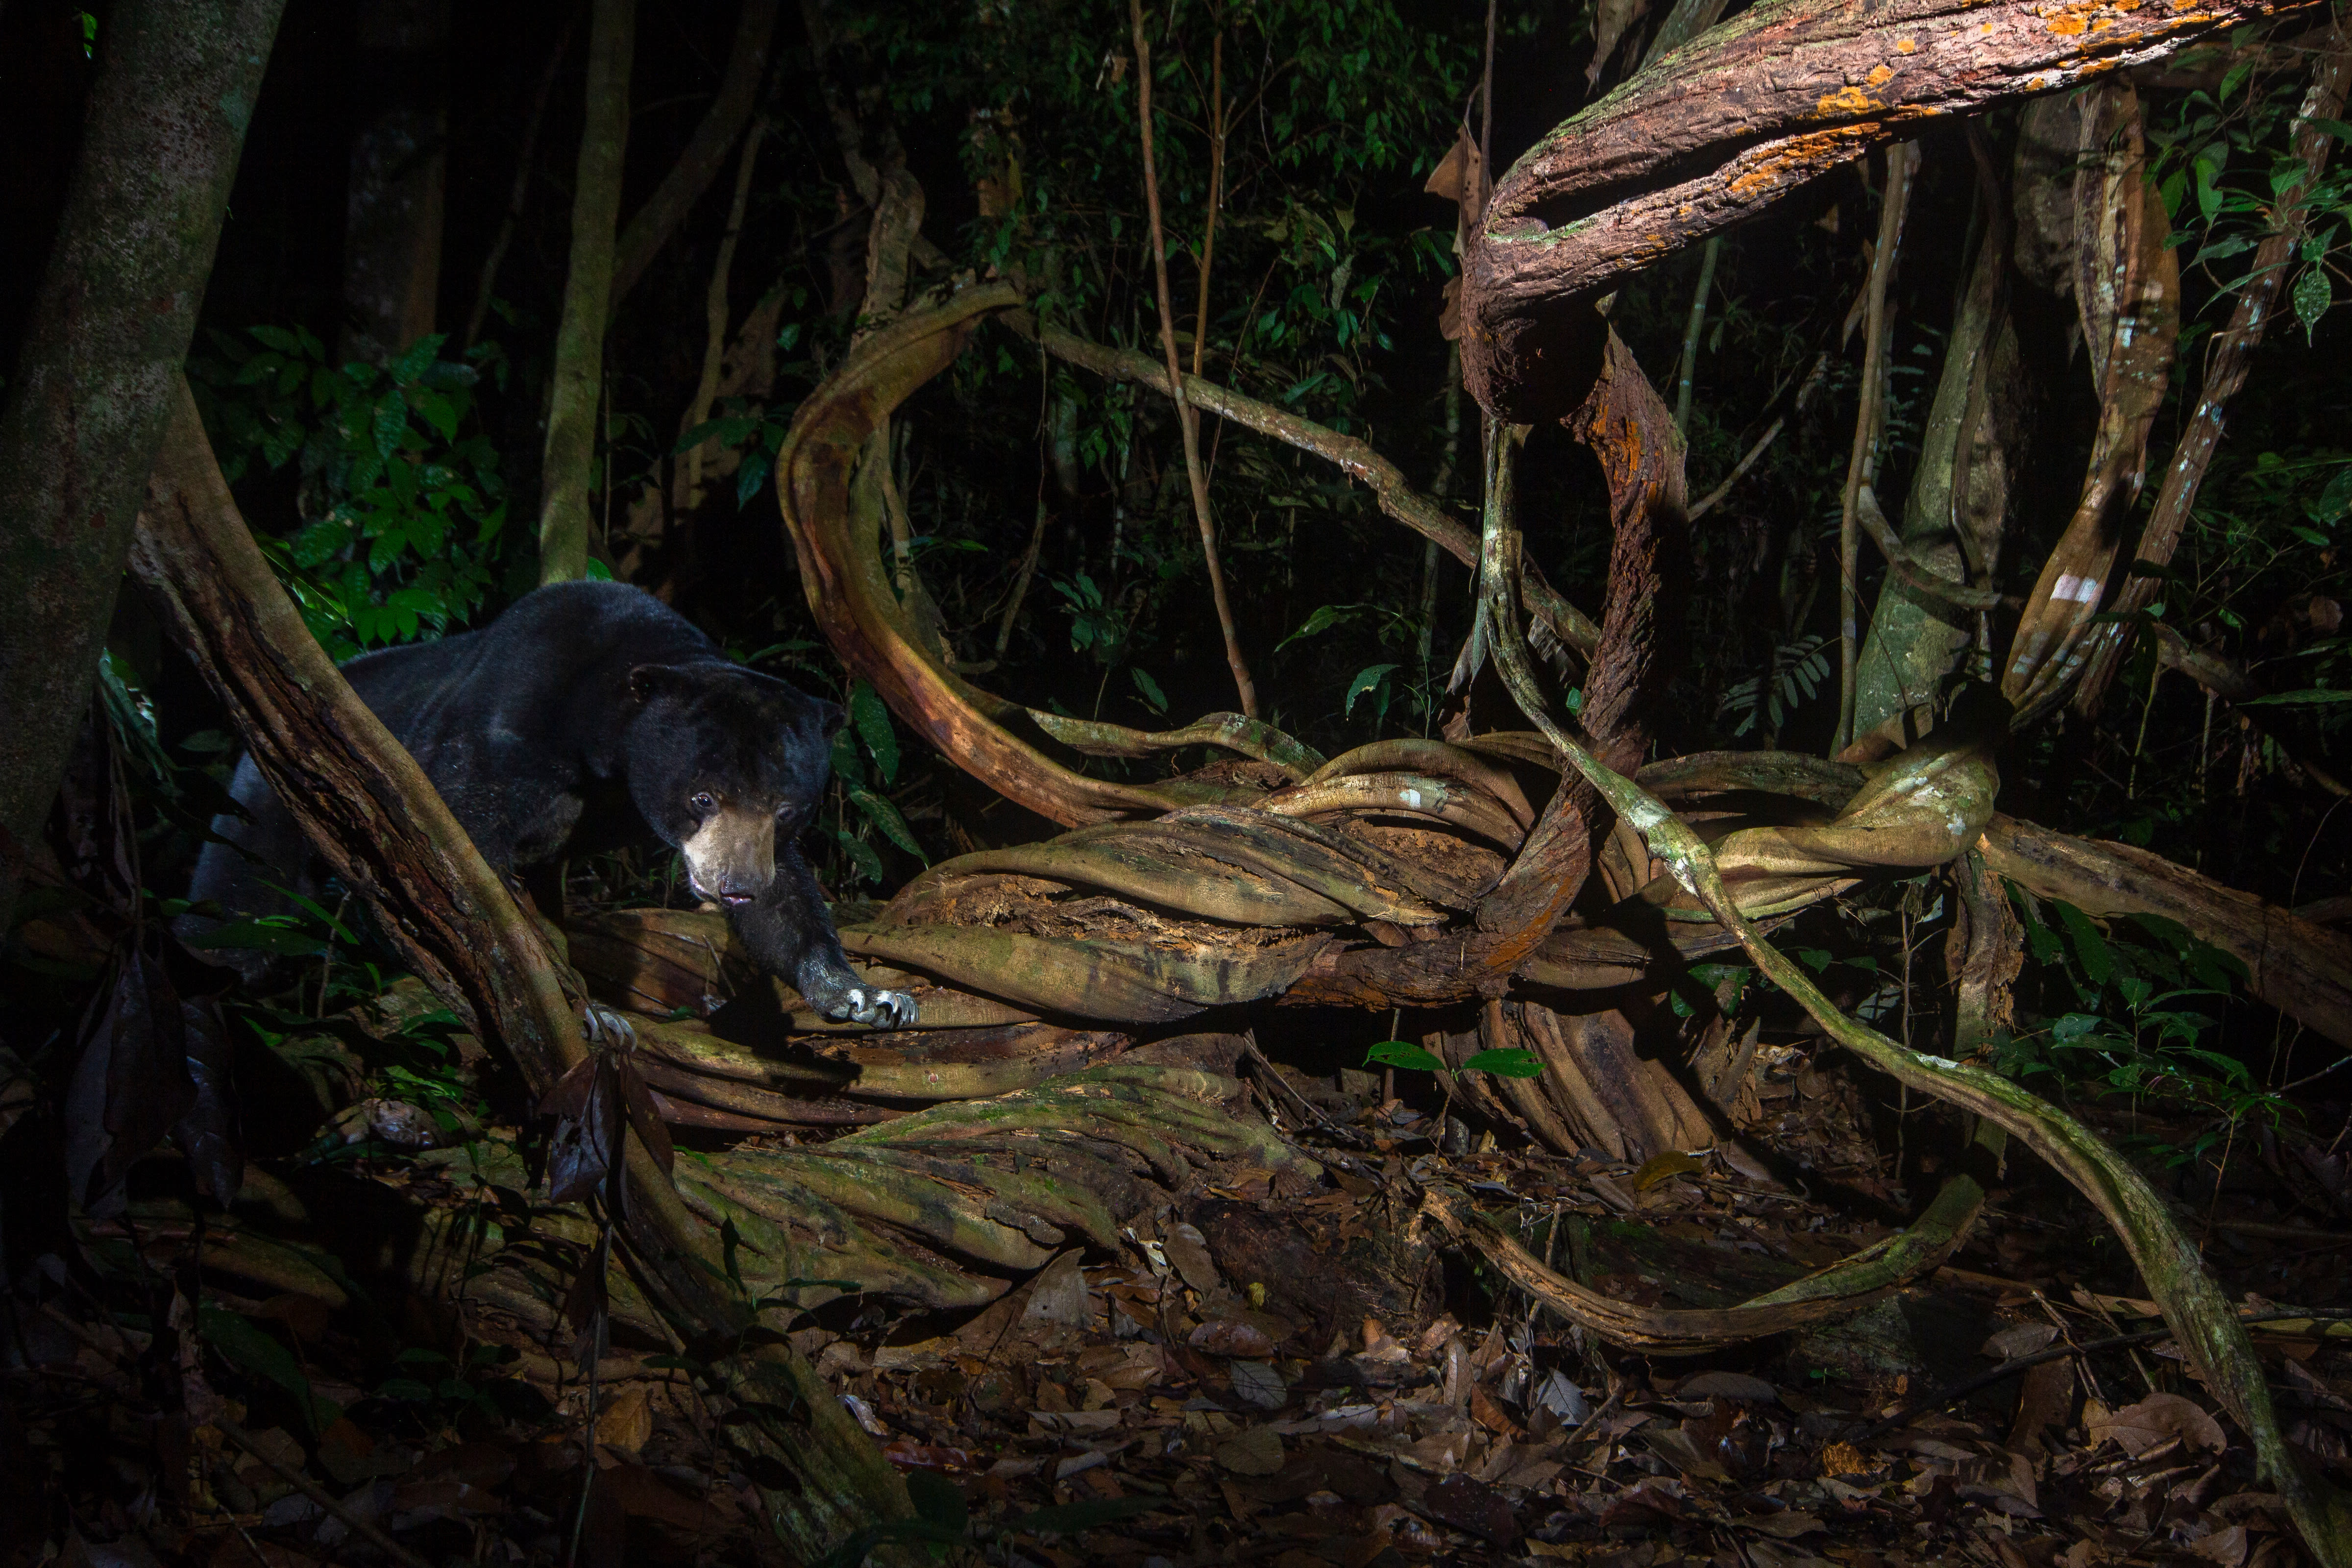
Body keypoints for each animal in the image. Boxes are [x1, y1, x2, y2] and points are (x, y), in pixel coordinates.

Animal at [182, 579, 916, 1031]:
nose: (735, 886)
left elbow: (788, 905)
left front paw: (866, 995)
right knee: (241, 881)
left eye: (787, 809)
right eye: (702, 796)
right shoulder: (501, 727)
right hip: (266, 781)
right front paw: (585, 1010)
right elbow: (457, 864)